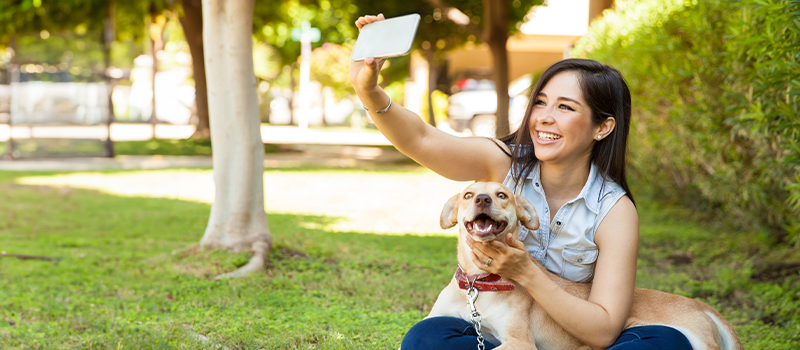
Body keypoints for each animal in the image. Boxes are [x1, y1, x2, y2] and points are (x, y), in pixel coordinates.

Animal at [424, 182, 744, 350]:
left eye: (502, 195)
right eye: (468, 195)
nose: (482, 198)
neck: (479, 283)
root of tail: (703, 306)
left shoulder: (520, 342)